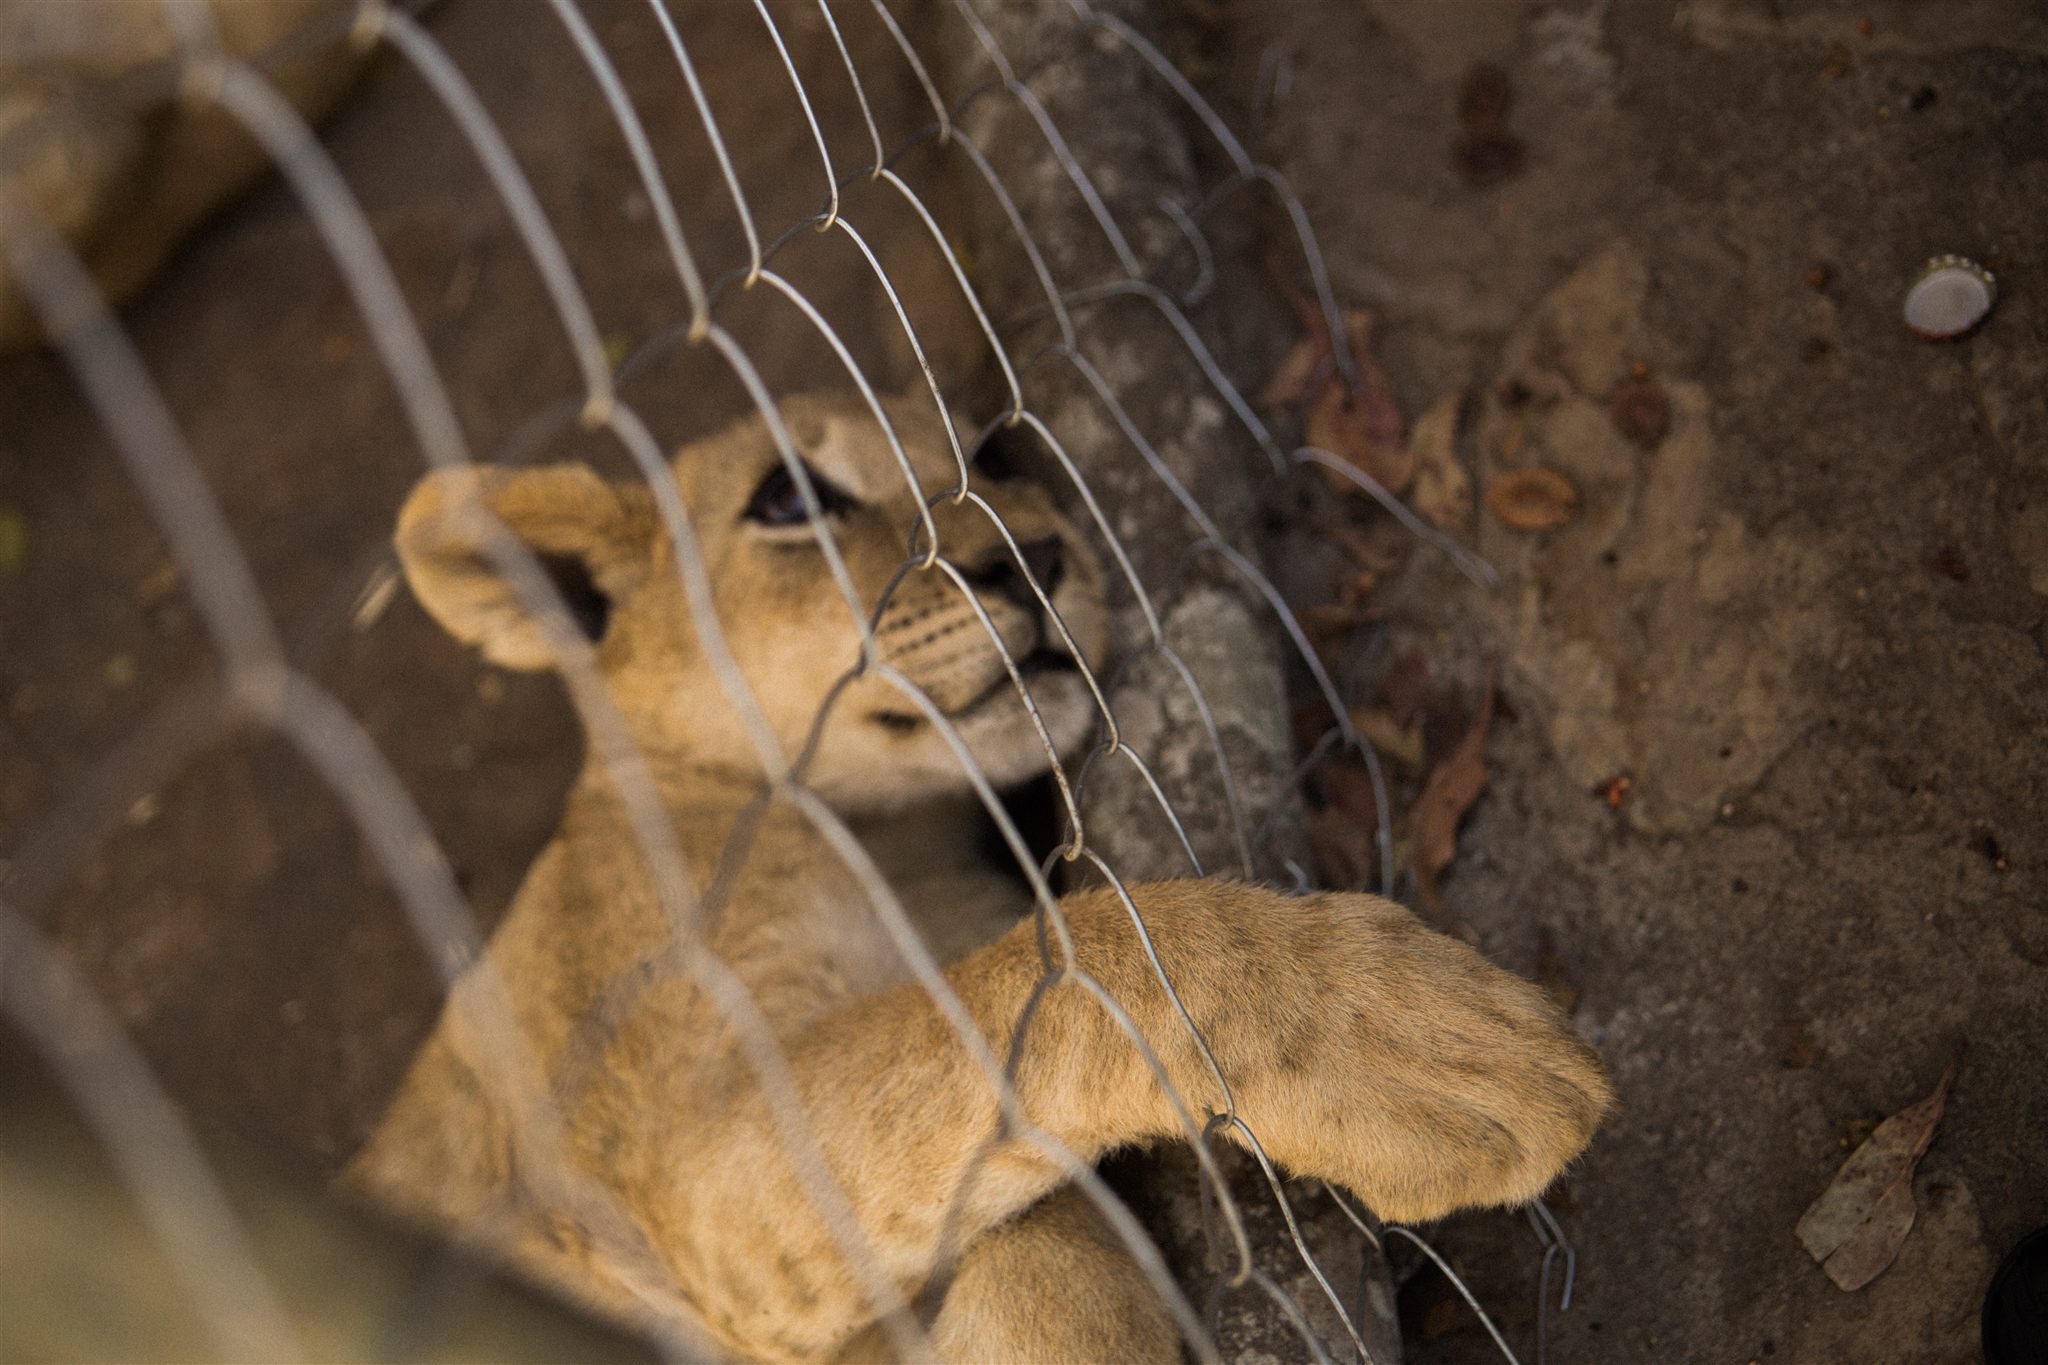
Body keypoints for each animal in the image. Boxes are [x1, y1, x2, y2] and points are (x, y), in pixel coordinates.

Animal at [346, 389, 1613, 1362]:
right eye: (787, 500)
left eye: (990, 457)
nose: (1037, 553)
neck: (892, 839)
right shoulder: (672, 1162)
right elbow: (1056, 968)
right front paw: (1413, 1043)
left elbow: (1026, 1181)